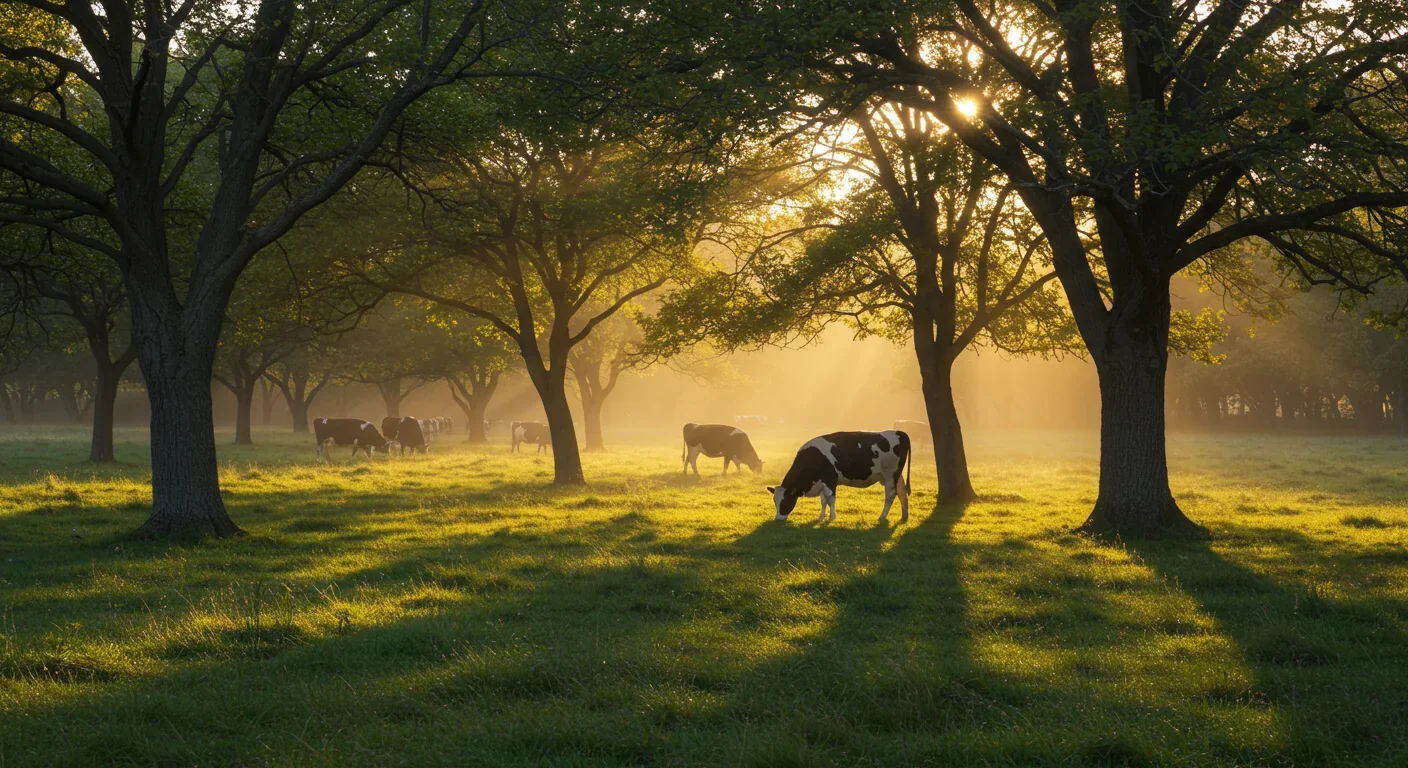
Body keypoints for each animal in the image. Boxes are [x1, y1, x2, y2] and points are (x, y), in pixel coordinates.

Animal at [768, 430, 911, 524]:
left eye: (785, 501)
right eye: (775, 501)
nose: (778, 519)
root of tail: (900, 432)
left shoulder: (830, 479)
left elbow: (831, 499)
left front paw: (832, 518)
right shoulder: (821, 483)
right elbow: (823, 501)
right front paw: (820, 518)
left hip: (889, 475)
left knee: (891, 495)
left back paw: (882, 517)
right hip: (896, 476)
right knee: (902, 493)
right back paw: (904, 517)